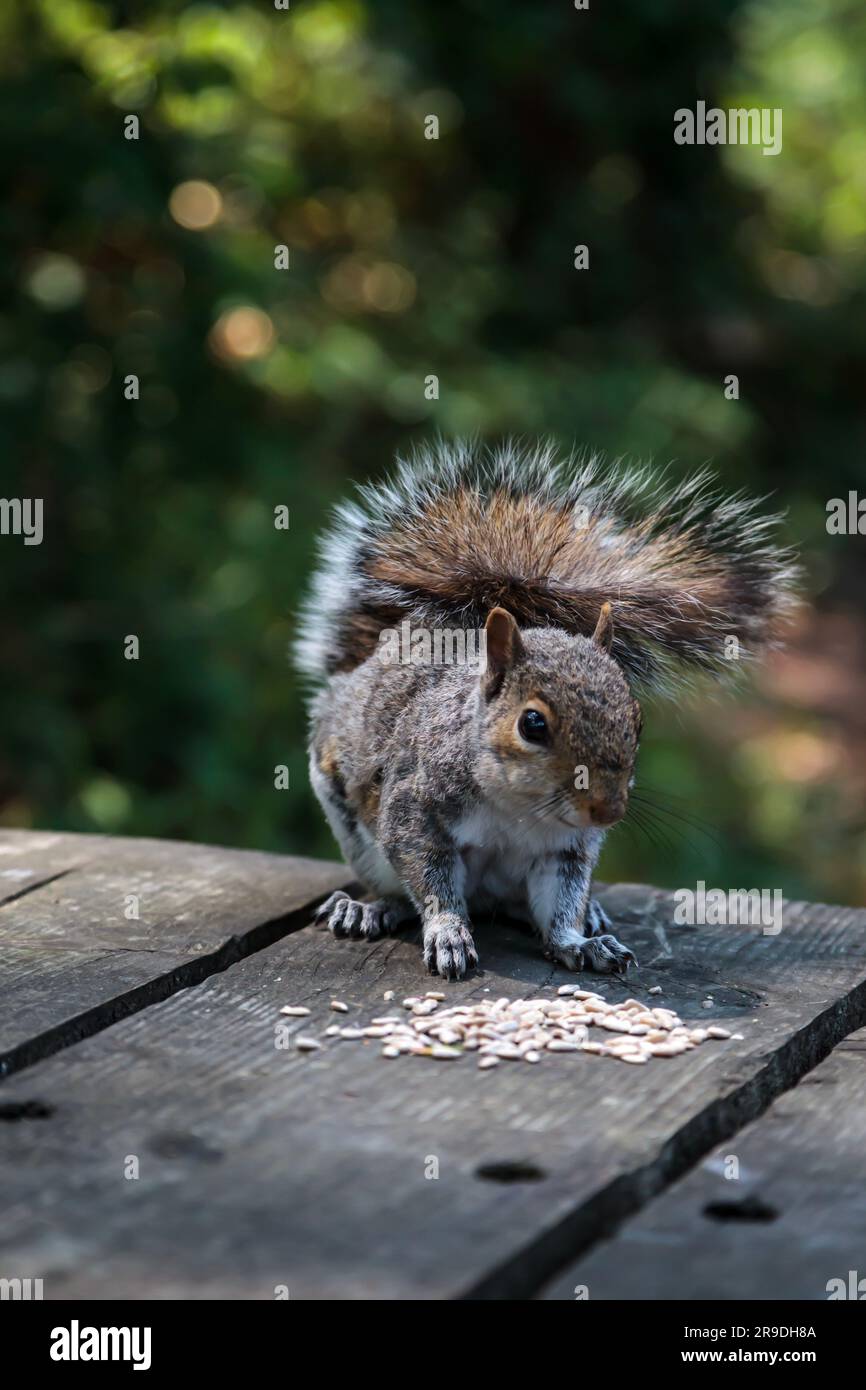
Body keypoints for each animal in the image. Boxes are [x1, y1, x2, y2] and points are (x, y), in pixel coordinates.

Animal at [295, 440, 798, 980]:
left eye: (638, 722)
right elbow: (430, 879)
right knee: (396, 890)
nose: (609, 811)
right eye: (531, 724)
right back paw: (368, 909)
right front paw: (449, 934)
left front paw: (579, 942)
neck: (519, 807)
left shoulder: (566, 850)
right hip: (355, 834)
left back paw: (591, 915)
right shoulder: (414, 808)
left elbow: (561, 901)